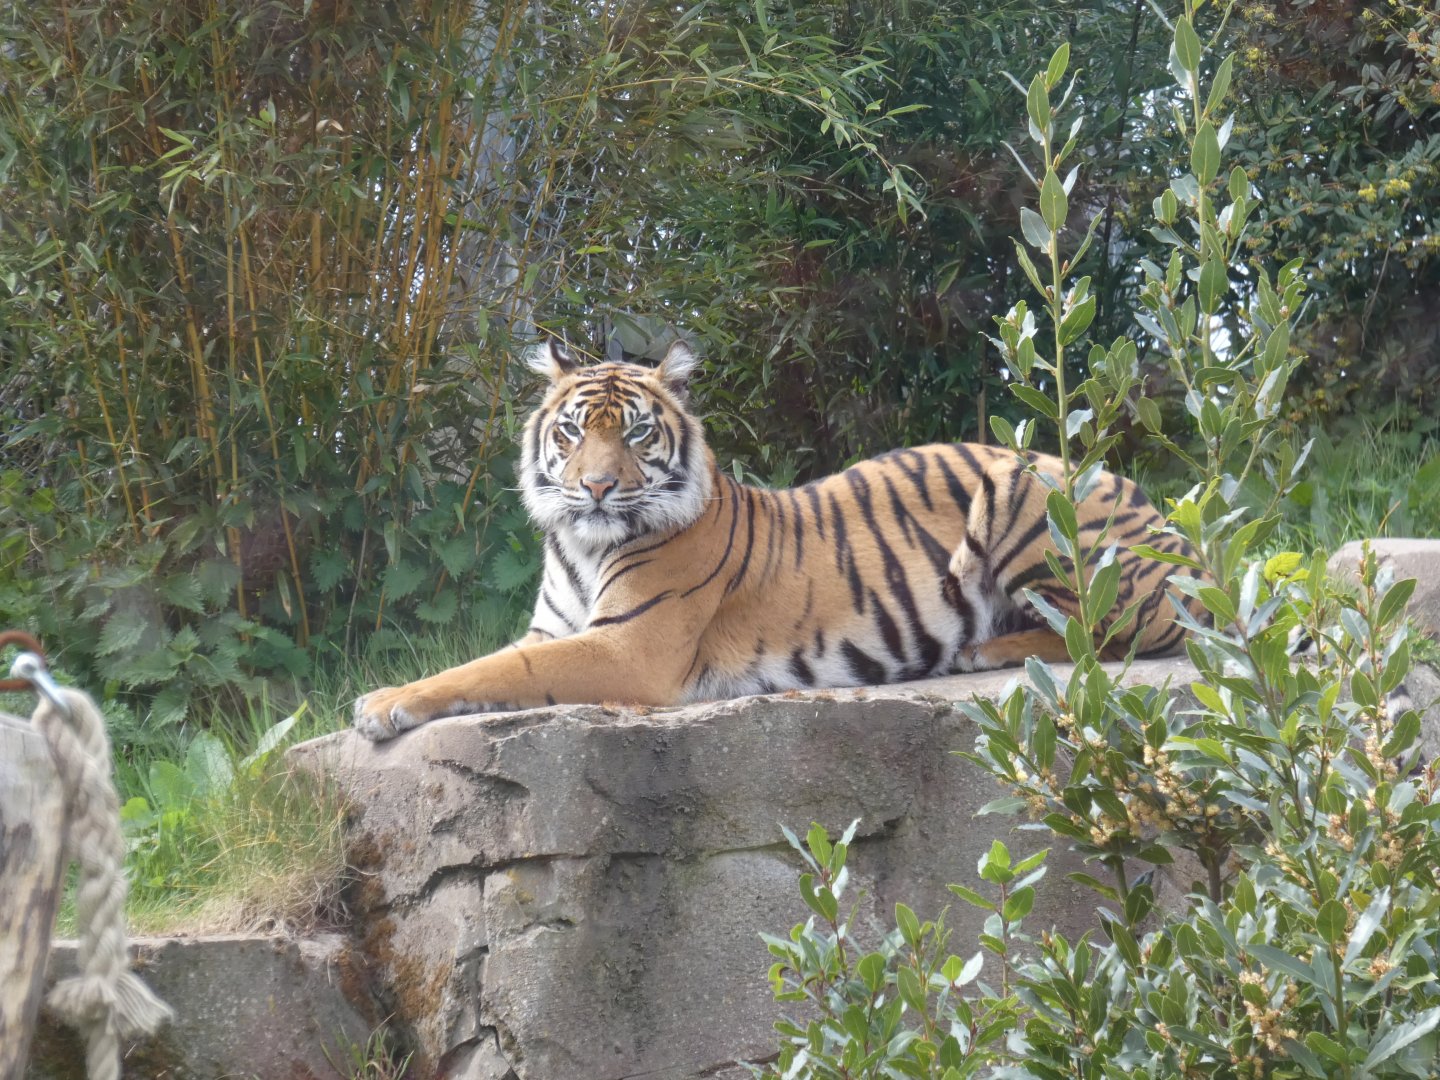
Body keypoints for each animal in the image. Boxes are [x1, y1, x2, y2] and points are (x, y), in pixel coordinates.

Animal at [353, 340, 1205, 741]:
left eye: (635, 433)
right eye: (570, 432)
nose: (595, 487)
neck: (583, 543)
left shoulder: (627, 647)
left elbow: (498, 667)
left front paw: (381, 703)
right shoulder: (555, 625)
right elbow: (487, 659)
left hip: (1023, 489)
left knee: (1123, 635)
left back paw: (984, 651)